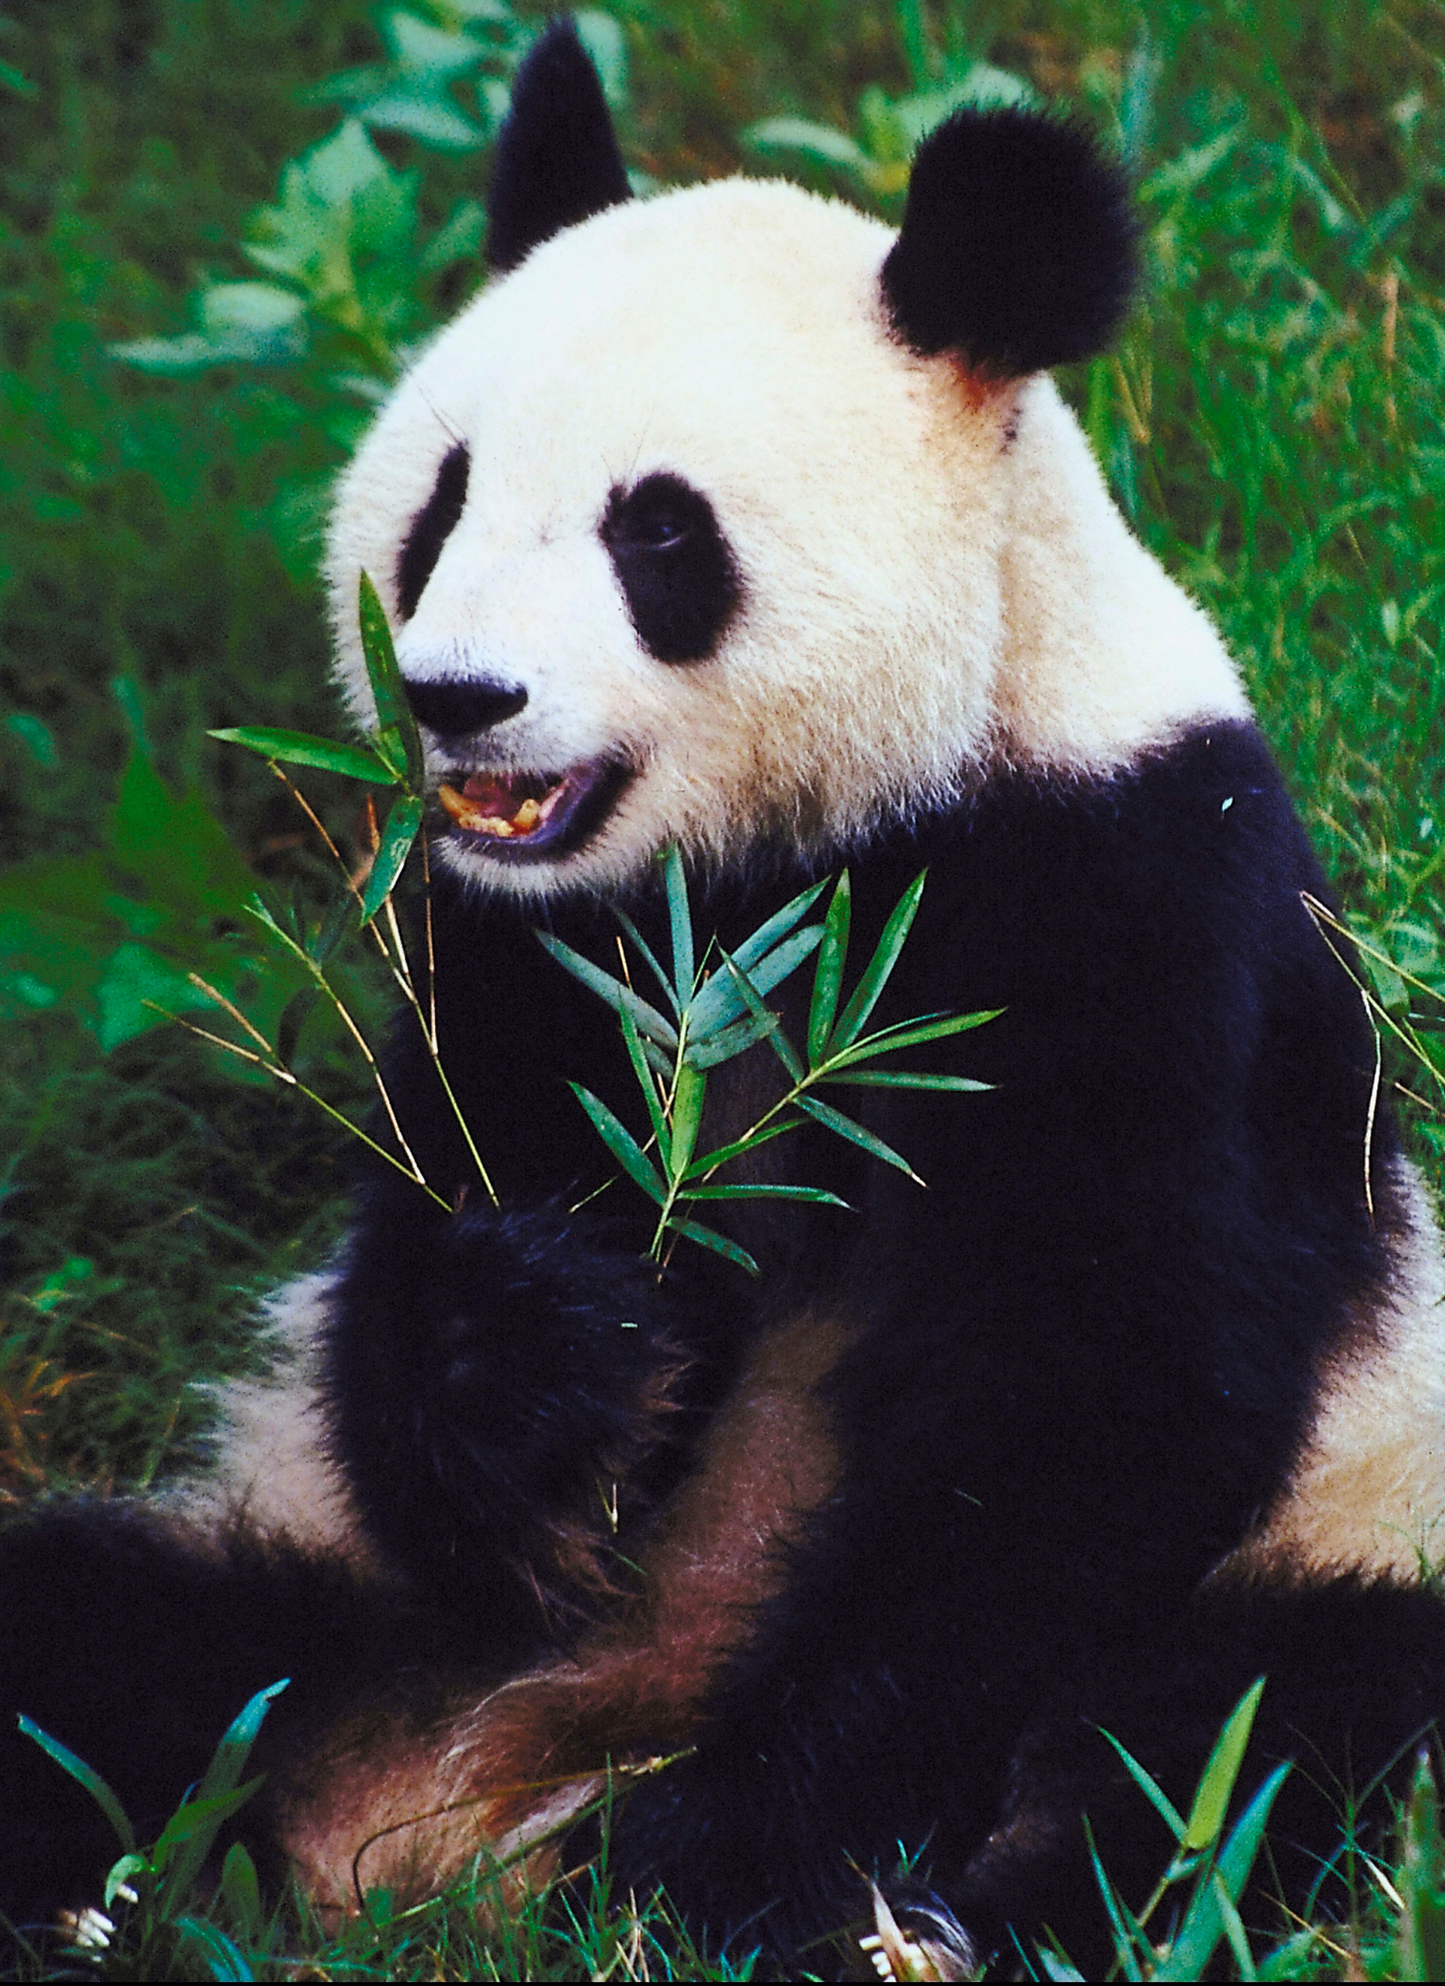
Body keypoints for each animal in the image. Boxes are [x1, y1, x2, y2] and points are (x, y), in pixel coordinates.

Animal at [3, 19, 1444, 1976]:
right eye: (441, 503)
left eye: (660, 534)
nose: (457, 698)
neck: (773, 873)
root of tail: (435, 1832)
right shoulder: (517, 957)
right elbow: (429, 1287)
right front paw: (548, 1362)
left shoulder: (1144, 906)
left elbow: (1097, 1402)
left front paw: (724, 1851)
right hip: (292, 1574)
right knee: (94, 1636)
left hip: (1362, 1519)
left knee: (1249, 1733)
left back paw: (897, 1914)